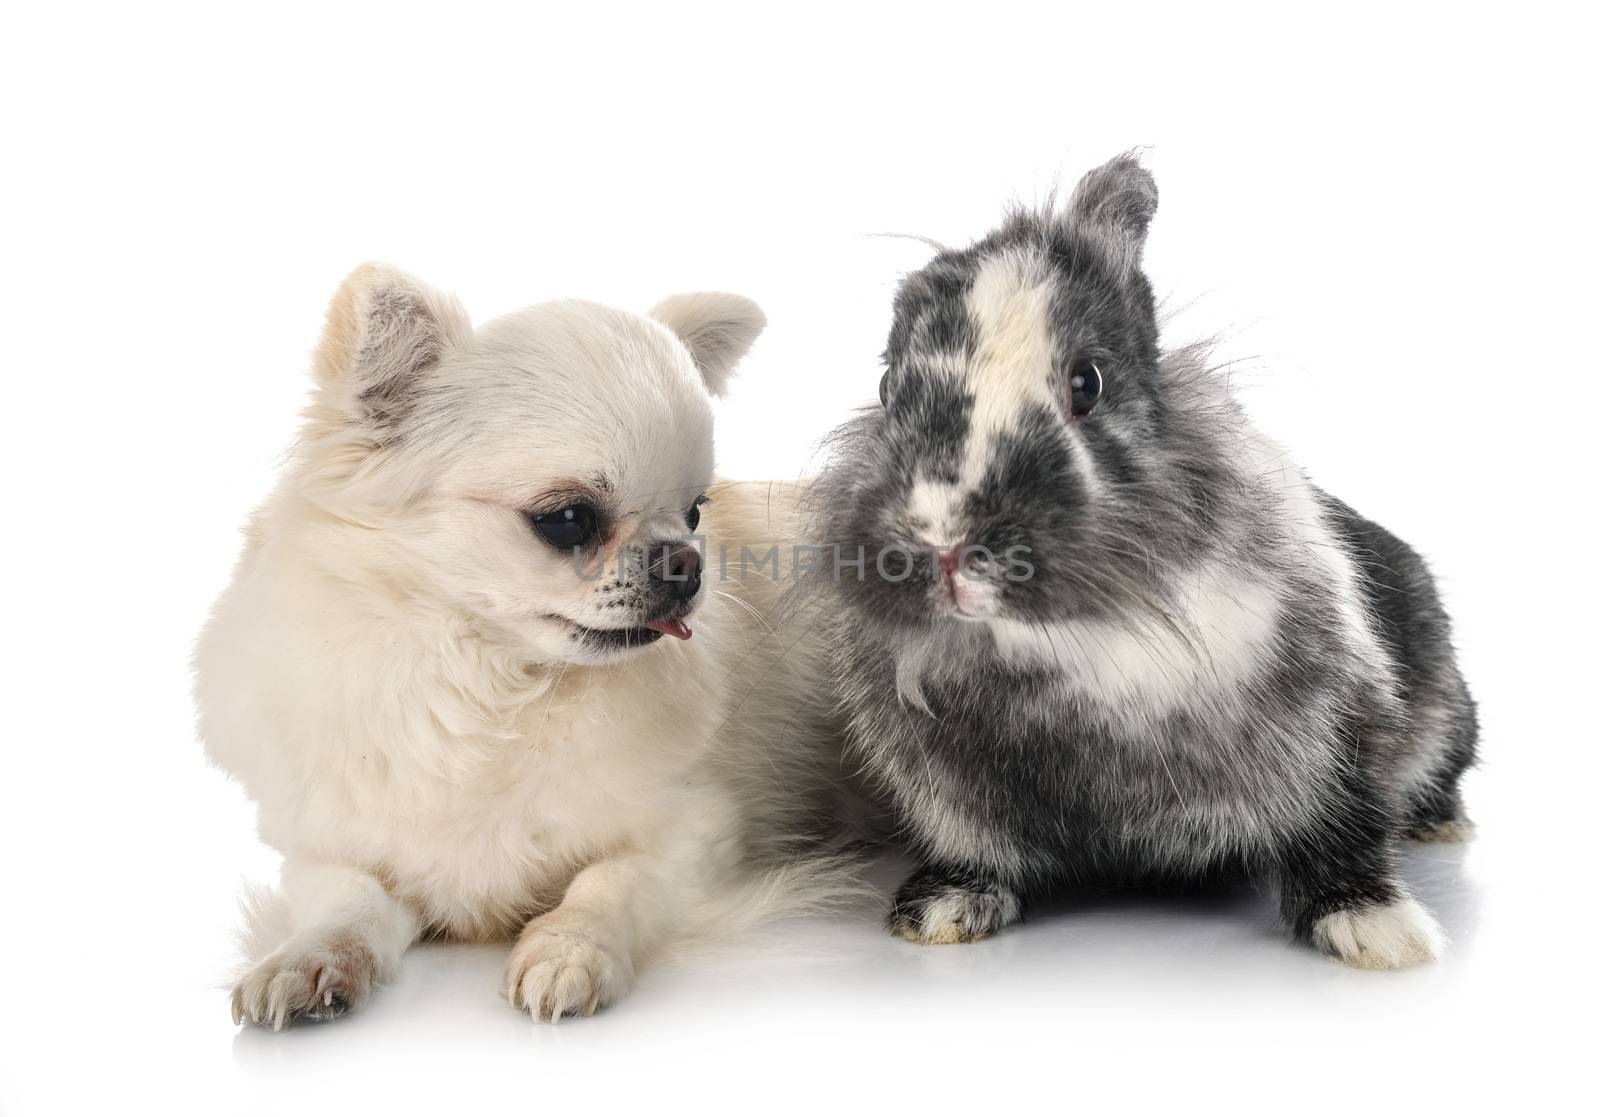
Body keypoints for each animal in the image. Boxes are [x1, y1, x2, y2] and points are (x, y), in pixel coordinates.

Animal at [198, 265, 844, 1024]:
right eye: (566, 520)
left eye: (694, 512)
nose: (687, 562)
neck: (493, 687)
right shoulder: (329, 843)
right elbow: (348, 899)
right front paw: (308, 957)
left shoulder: (702, 832)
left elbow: (612, 881)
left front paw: (570, 948)